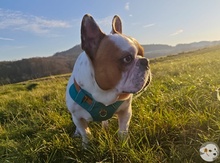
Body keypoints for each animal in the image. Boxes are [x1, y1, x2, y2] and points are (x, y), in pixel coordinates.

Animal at [65, 14, 151, 146]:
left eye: (142, 53)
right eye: (127, 58)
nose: (145, 61)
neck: (103, 93)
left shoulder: (126, 111)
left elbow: (123, 130)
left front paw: (123, 144)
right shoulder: (77, 117)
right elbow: (86, 133)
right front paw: (87, 146)